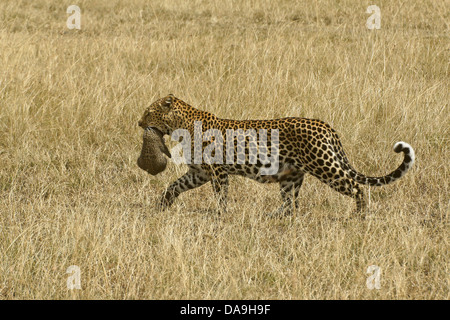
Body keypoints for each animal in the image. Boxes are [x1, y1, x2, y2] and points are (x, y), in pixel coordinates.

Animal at [136, 94, 414, 216]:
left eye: (148, 112)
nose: (139, 123)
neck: (180, 126)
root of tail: (324, 125)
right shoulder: (199, 173)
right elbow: (174, 186)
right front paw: (162, 206)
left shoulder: (217, 171)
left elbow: (221, 195)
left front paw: (220, 215)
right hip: (291, 176)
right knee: (291, 205)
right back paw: (274, 217)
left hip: (325, 166)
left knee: (357, 187)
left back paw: (359, 215)